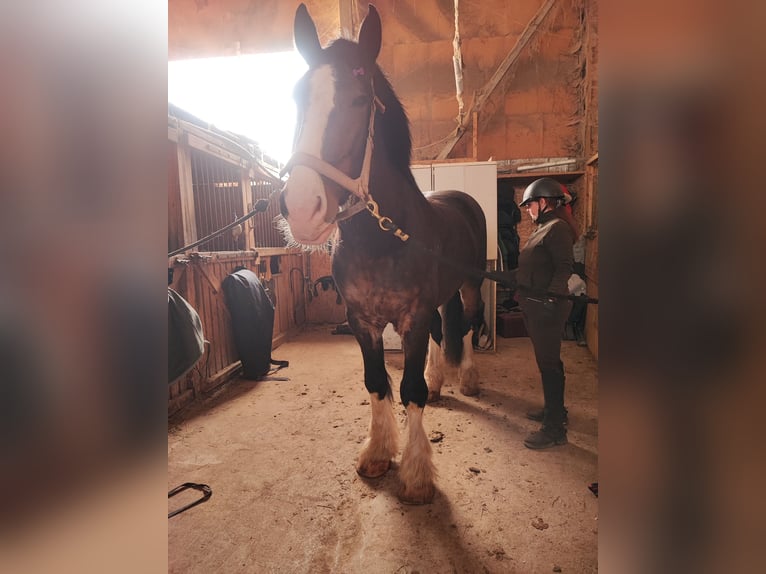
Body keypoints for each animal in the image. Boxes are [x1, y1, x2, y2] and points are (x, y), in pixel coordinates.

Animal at [280, 3, 488, 504]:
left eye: (359, 100)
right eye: (297, 96)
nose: (302, 208)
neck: (384, 239)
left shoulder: (411, 318)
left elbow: (409, 388)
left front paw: (416, 475)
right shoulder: (362, 321)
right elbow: (378, 383)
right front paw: (377, 454)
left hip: (472, 285)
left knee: (468, 326)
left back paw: (468, 378)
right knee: (443, 332)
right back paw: (440, 380)